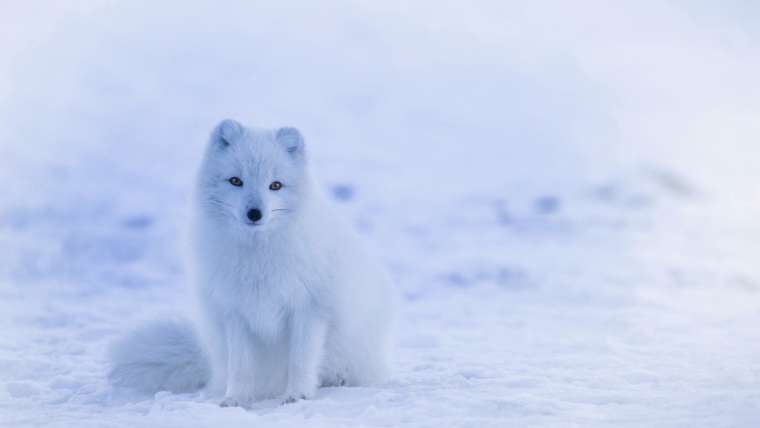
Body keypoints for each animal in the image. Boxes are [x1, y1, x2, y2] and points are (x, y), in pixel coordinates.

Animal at [113, 118, 398, 406]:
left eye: (275, 185)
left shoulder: (309, 309)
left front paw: (297, 395)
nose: (254, 213)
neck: (257, 257)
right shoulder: (235, 312)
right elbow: (241, 366)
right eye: (236, 181)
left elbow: (300, 360)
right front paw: (235, 399)